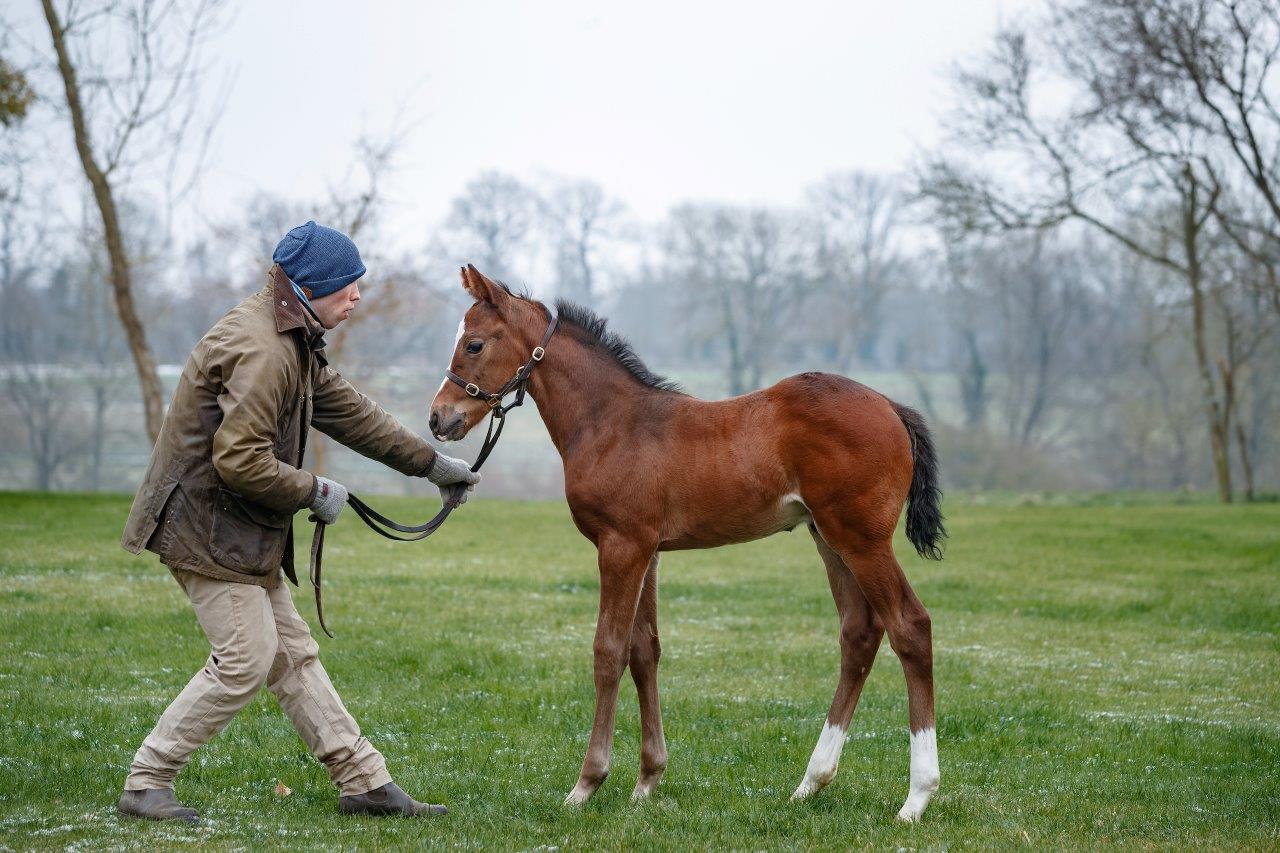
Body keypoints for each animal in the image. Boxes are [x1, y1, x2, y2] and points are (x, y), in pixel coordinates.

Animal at [435, 263, 947, 819]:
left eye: (475, 344)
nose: (438, 418)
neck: (611, 423)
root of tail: (891, 406)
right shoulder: (647, 551)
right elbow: (645, 650)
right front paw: (647, 780)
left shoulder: (620, 547)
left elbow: (608, 651)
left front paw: (587, 783)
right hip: (828, 538)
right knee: (859, 633)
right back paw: (811, 782)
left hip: (862, 539)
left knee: (910, 626)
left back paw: (917, 796)